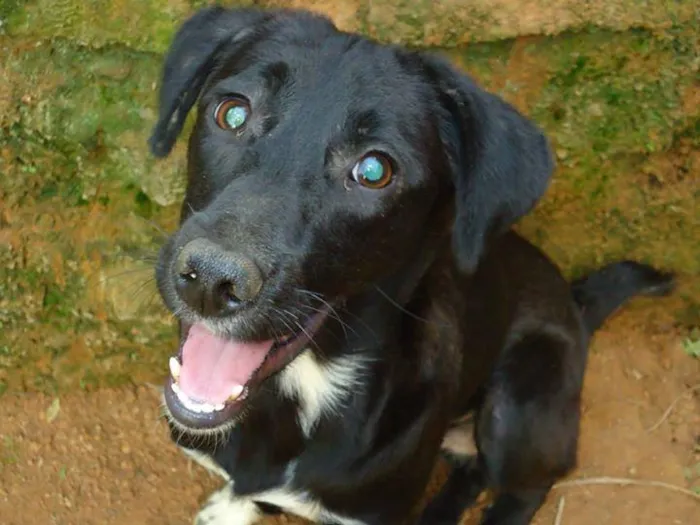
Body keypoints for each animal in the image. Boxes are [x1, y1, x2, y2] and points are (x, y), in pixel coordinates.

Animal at [150, 5, 676, 524]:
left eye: (374, 170)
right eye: (232, 113)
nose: (210, 279)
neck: (302, 394)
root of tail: (575, 302)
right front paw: (233, 506)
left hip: (520, 403)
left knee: (524, 486)